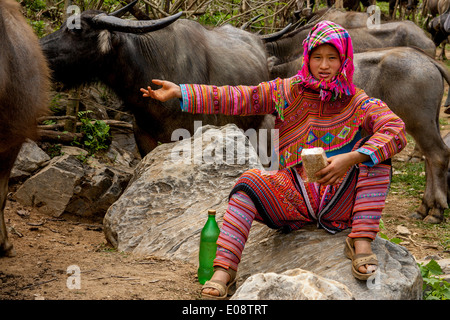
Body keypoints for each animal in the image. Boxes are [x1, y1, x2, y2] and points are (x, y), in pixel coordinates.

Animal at [268, 45, 450, 222]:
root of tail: (427, 59)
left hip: (419, 122)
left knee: (438, 155)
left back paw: (436, 210)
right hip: (430, 122)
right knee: (430, 159)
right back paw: (424, 208)